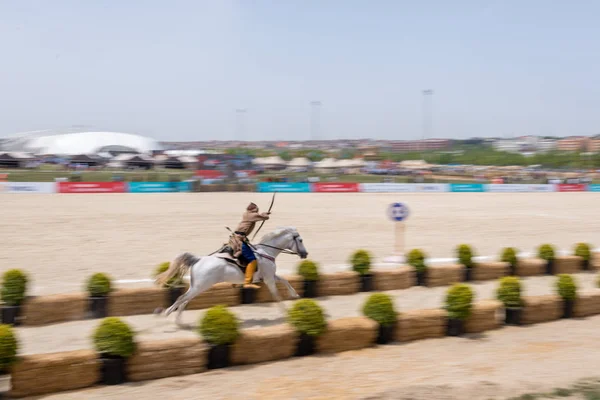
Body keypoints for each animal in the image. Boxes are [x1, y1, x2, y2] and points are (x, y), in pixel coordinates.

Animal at [155, 227, 310, 326]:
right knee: (181, 299)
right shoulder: (269, 279)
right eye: (301, 240)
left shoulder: (271, 276)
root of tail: (198, 259)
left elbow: (285, 280)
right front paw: (287, 312)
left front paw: (294, 294)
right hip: (200, 287)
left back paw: (179, 321)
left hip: (197, 287)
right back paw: (166, 313)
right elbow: (277, 295)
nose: (305, 254)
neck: (266, 251)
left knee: (184, 301)